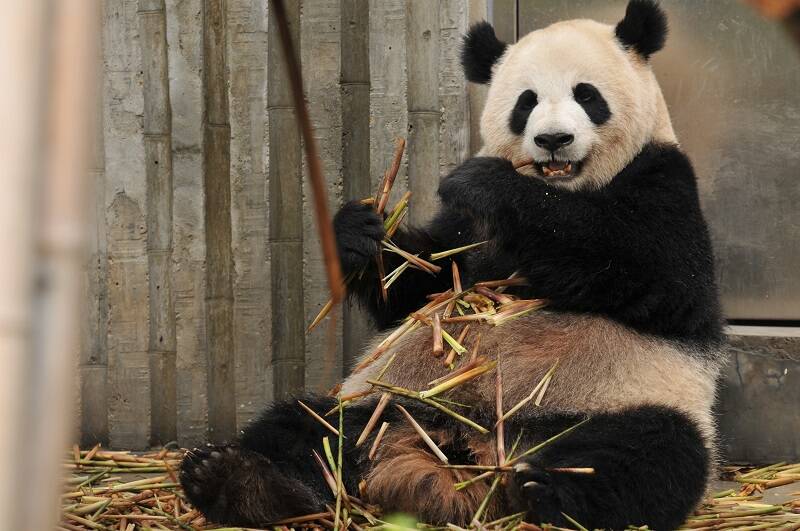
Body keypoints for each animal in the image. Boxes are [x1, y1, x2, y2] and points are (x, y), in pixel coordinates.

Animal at [180, 2, 724, 528]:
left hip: (618, 400)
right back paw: (237, 482)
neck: (565, 187)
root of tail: (466, 448)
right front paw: (361, 231)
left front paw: (490, 183)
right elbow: (420, 289)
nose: (552, 140)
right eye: (526, 102)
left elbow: (656, 275)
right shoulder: (462, 232)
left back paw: (547, 493)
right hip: (388, 401)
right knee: (306, 429)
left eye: (587, 95)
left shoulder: (664, 182)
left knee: (644, 457)